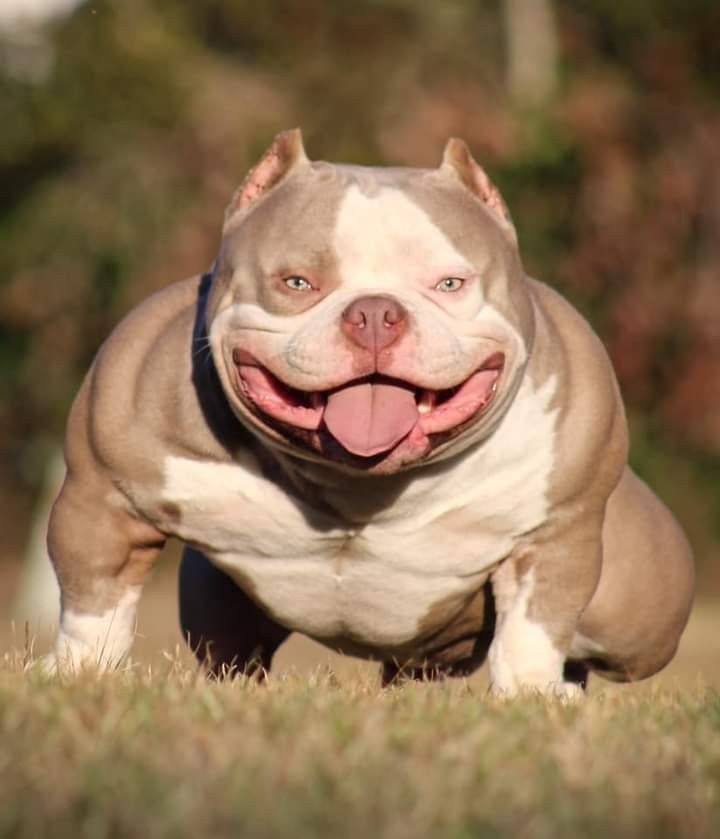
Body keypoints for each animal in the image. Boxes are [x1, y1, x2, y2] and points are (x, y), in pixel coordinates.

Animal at [43, 130, 692, 696]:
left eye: (449, 283)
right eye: (297, 283)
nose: (376, 313)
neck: (359, 485)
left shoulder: (555, 533)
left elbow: (532, 628)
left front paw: (530, 695)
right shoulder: (102, 499)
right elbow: (94, 602)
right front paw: (79, 674)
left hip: (637, 614)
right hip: (216, 604)